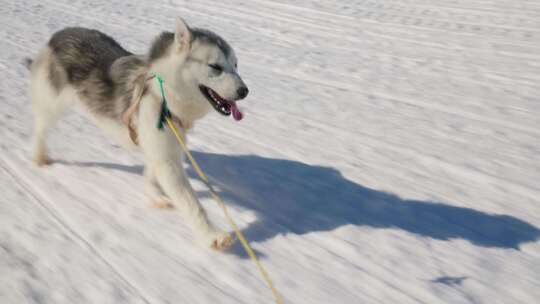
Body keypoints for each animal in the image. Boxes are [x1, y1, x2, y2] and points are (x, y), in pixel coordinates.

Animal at [27, 17, 249, 249]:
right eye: (215, 66)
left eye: (236, 65)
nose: (244, 91)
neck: (164, 93)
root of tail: (59, 35)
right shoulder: (167, 160)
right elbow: (191, 203)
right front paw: (212, 235)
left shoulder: (162, 148)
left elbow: (151, 174)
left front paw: (155, 196)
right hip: (52, 105)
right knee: (40, 128)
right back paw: (39, 156)